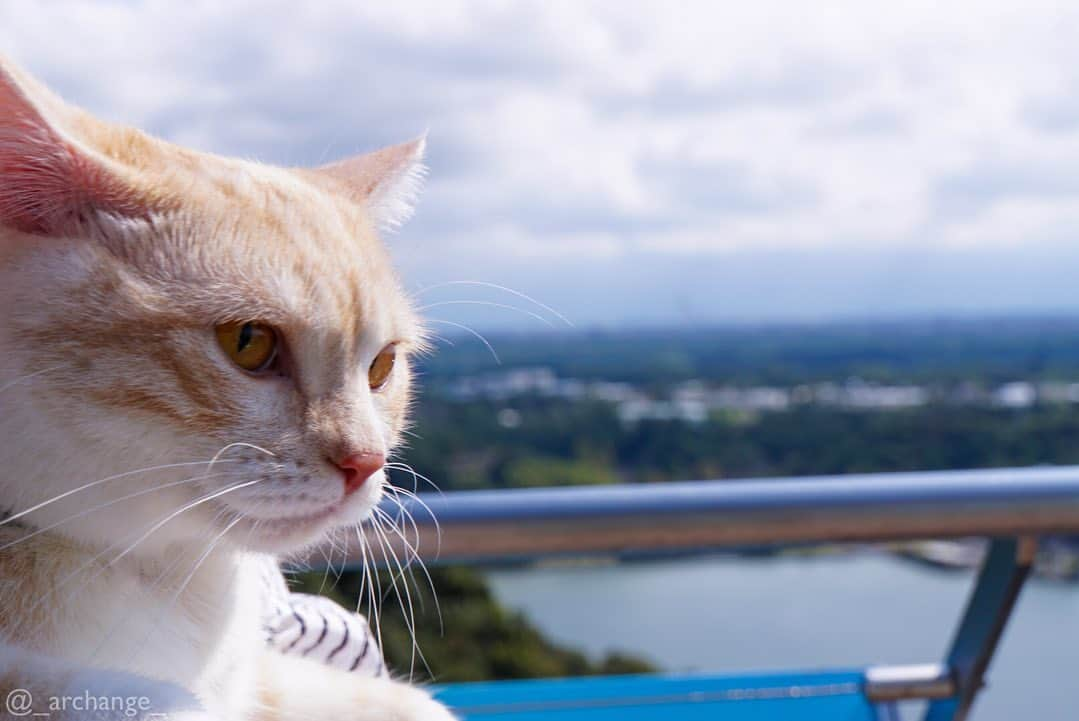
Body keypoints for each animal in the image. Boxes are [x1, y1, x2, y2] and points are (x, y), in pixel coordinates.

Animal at [0, 57, 455, 721]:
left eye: (382, 366)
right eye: (248, 341)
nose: (367, 463)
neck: (166, 581)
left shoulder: (256, 680)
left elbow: (404, 703)